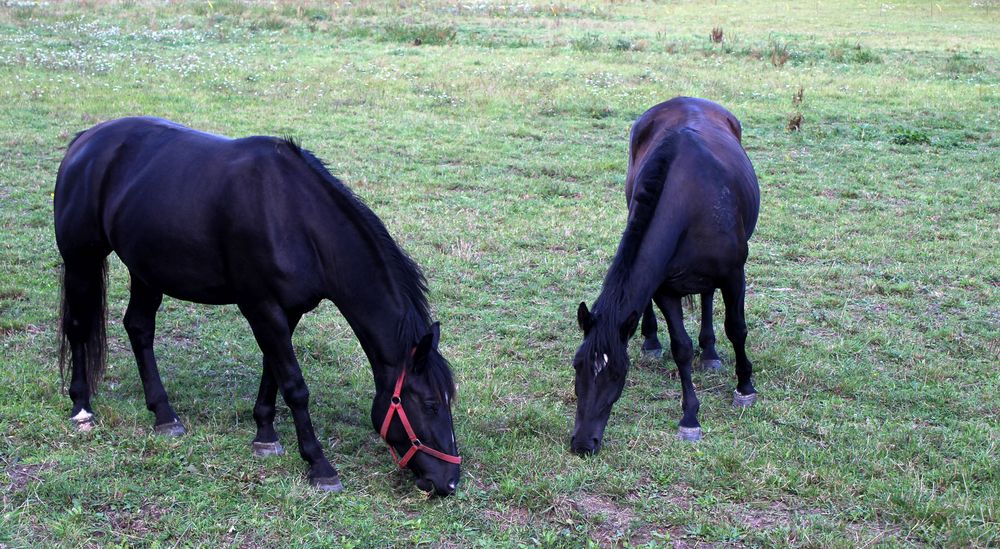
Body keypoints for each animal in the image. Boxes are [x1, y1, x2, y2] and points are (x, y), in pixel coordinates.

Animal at [52, 117, 458, 494]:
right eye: (430, 405)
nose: (449, 482)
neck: (297, 218)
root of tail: (85, 141)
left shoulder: (286, 311)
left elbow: (272, 372)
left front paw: (265, 434)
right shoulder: (261, 307)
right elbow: (294, 385)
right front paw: (319, 465)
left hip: (145, 269)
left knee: (139, 328)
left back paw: (164, 414)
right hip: (81, 259)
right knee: (78, 328)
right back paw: (82, 407)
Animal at [572, 98, 756, 454]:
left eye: (616, 373)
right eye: (578, 366)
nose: (583, 443)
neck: (692, 202)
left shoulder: (733, 275)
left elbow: (736, 329)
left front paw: (745, 387)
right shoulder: (665, 289)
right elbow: (680, 347)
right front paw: (690, 418)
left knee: (708, 296)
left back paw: (710, 353)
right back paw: (653, 341)